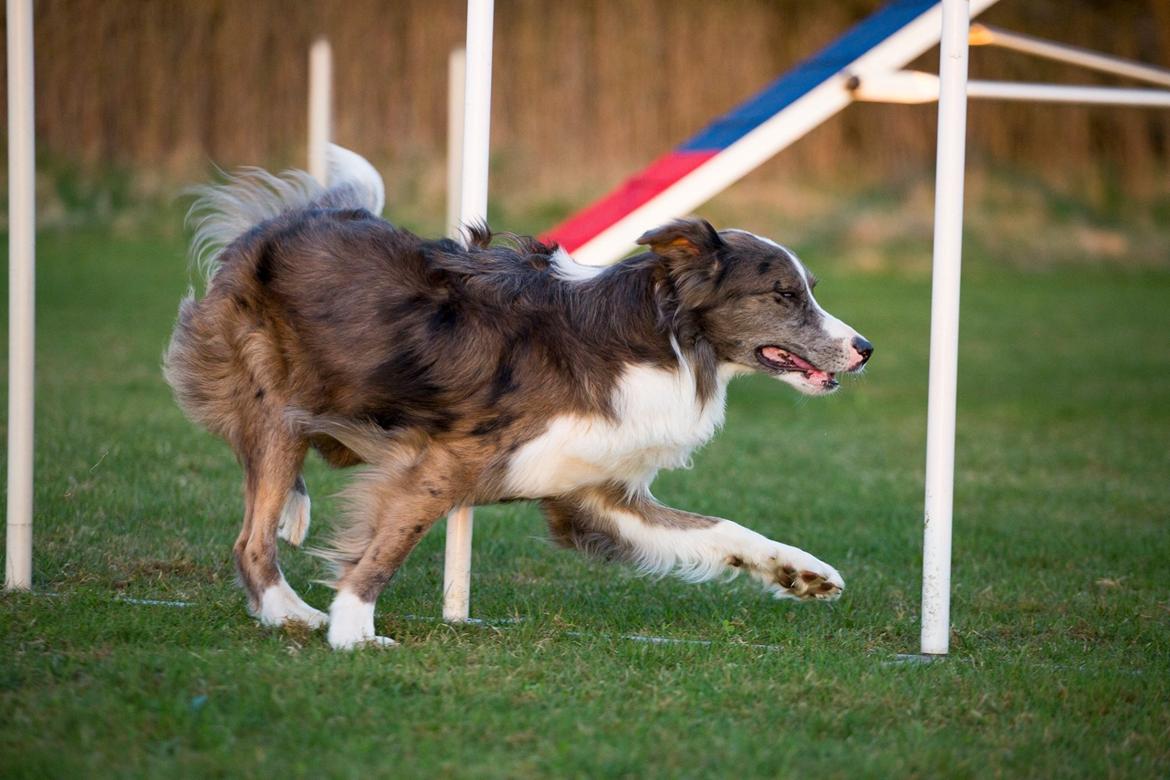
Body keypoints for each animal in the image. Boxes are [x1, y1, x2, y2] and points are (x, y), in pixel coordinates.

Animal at [169, 146, 875, 645]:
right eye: (783, 295)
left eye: (809, 290)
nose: (866, 347)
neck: (666, 340)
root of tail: (287, 218)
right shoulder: (440, 462)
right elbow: (387, 547)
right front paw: (354, 632)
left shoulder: (594, 495)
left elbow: (719, 529)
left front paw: (802, 572)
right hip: (278, 410)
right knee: (250, 541)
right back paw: (292, 613)